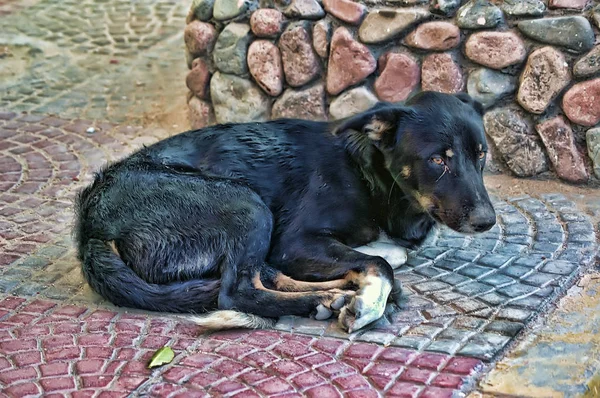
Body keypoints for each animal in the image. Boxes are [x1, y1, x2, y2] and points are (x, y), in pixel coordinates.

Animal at [74, 91, 496, 332]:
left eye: (481, 154)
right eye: (437, 160)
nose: (487, 222)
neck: (370, 174)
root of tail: (90, 223)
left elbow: (383, 254)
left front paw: (362, 284)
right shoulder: (294, 242)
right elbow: (380, 262)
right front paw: (369, 302)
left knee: (265, 276)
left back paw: (332, 295)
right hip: (247, 204)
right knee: (237, 292)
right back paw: (322, 300)